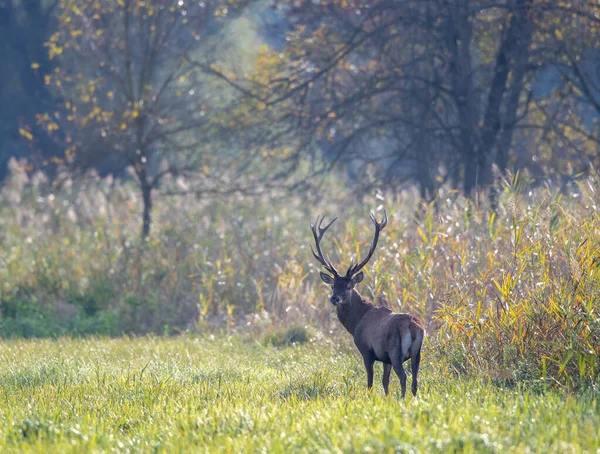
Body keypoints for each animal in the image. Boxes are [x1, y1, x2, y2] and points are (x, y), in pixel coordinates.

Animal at [312, 210, 424, 398]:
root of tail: (414, 327)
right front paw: (386, 398)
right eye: (333, 285)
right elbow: (385, 382)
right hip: (417, 353)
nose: (334, 298)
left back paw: (403, 399)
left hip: (396, 351)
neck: (356, 322)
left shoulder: (367, 350)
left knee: (404, 377)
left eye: (348, 287)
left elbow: (370, 382)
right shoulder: (385, 358)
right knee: (415, 379)